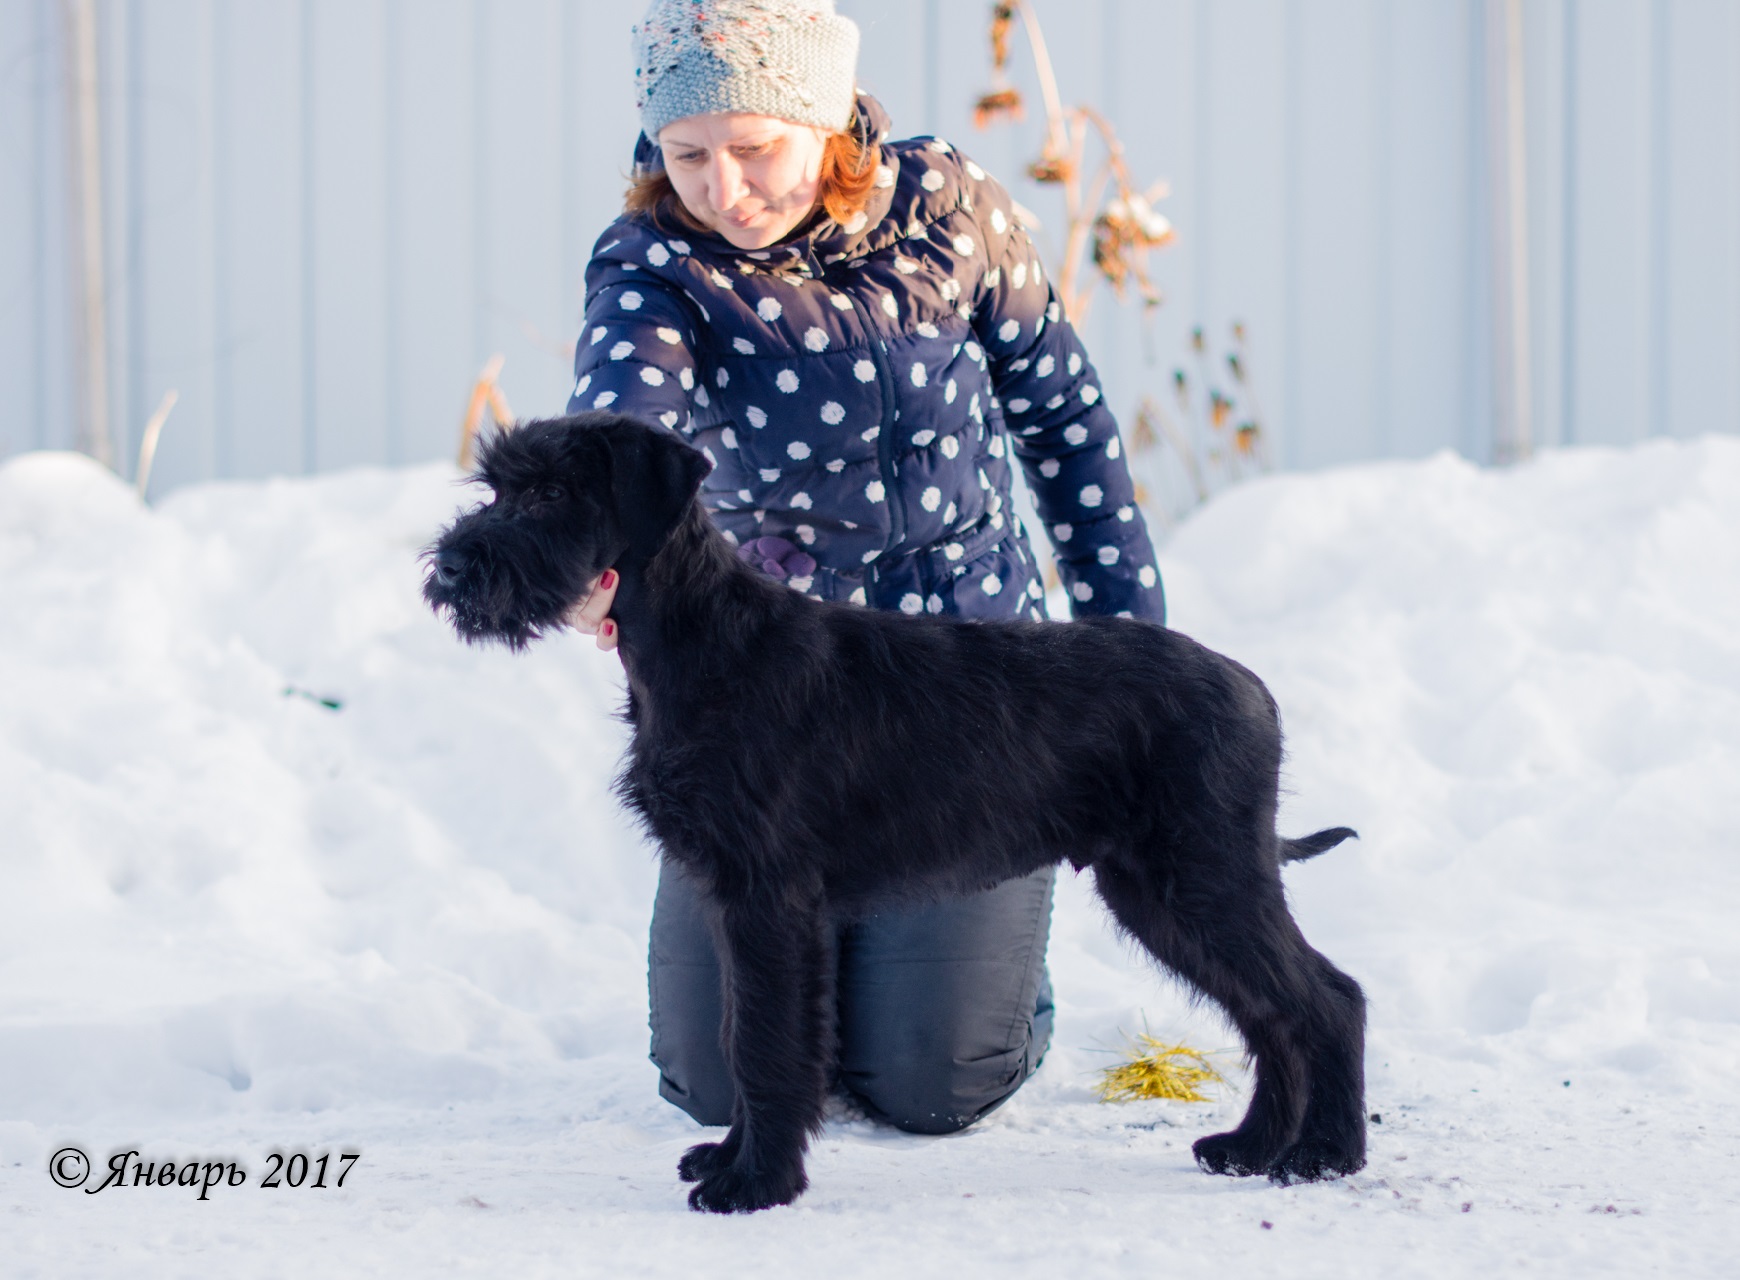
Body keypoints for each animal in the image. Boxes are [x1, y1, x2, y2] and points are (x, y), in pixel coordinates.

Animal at [424, 412, 1371, 1210]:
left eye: (551, 494)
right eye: (497, 489)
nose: (450, 568)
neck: (704, 641)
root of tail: (1252, 690)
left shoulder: (768, 901)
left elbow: (761, 1042)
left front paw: (754, 1185)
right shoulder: (741, 905)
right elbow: (738, 1032)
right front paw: (734, 1160)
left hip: (1201, 879)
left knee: (1326, 997)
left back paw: (1323, 1155)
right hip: (1157, 891)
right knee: (1269, 1011)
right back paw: (1252, 1148)